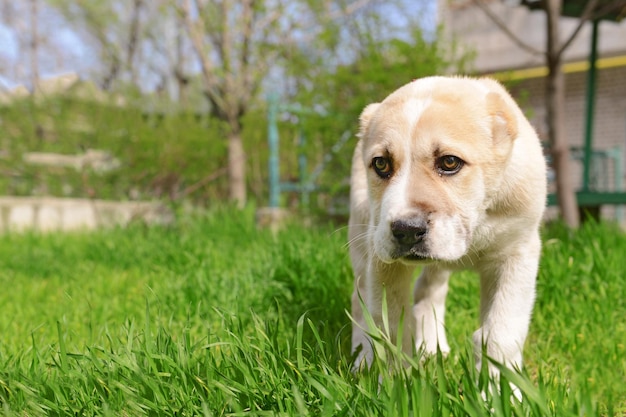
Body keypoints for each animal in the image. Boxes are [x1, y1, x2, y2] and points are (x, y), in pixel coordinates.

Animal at [348, 76, 544, 376]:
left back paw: (432, 347)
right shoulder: (383, 261)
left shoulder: (517, 252)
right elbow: (390, 329)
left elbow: (501, 333)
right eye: (380, 164)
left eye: (450, 162)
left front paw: (501, 387)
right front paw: (396, 384)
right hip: (361, 239)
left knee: (428, 291)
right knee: (359, 302)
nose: (406, 230)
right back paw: (361, 359)